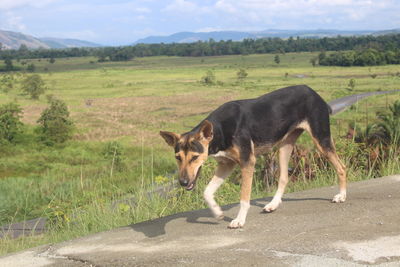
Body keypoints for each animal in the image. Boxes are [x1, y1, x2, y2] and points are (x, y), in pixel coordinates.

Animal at [160, 85, 346, 229]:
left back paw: (341, 196)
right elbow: (207, 192)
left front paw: (239, 220)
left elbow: (244, 197)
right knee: (284, 178)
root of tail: (314, 93)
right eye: (178, 157)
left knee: (341, 167)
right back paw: (273, 204)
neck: (220, 130)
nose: (183, 182)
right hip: (284, 147)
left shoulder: (247, 162)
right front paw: (218, 212)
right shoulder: (226, 164)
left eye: (195, 157)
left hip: (321, 140)